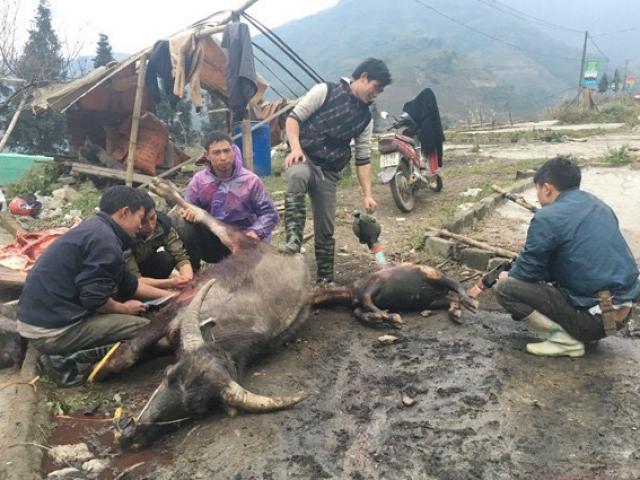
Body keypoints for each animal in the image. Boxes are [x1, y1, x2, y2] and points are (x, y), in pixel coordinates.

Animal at [96, 179, 312, 446]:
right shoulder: (171, 314)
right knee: (202, 214)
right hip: (236, 239)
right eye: (168, 374)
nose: (130, 433)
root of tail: (290, 254)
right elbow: (129, 353)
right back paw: (162, 187)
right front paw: (98, 371)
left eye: (196, 406)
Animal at [312, 264, 478, 328]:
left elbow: (368, 301)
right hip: (432, 301)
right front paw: (377, 317)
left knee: (454, 282)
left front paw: (391, 317)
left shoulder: (375, 284)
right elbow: (360, 313)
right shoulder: (358, 306)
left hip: (432, 275)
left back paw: (470, 302)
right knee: (451, 299)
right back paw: (456, 313)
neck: (350, 292)